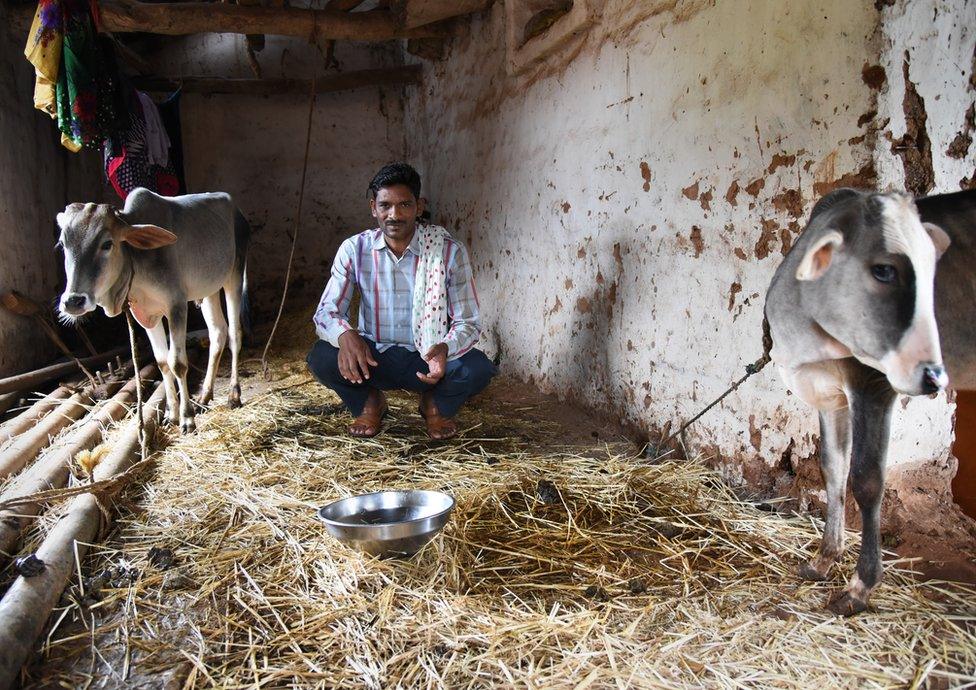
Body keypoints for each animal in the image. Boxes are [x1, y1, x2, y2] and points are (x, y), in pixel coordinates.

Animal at [56, 187, 252, 430]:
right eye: (63, 244)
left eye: (107, 244)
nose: (73, 301)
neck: (136, 260)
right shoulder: (146, 314)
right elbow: (162, 362)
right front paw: (172, 413)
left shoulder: (176, 305)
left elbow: (177, 363)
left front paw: (187, 417)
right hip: (208, 289)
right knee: (218, 333)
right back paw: (205, 395)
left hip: (234, 275)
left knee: (235, 334)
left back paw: (234, 395)